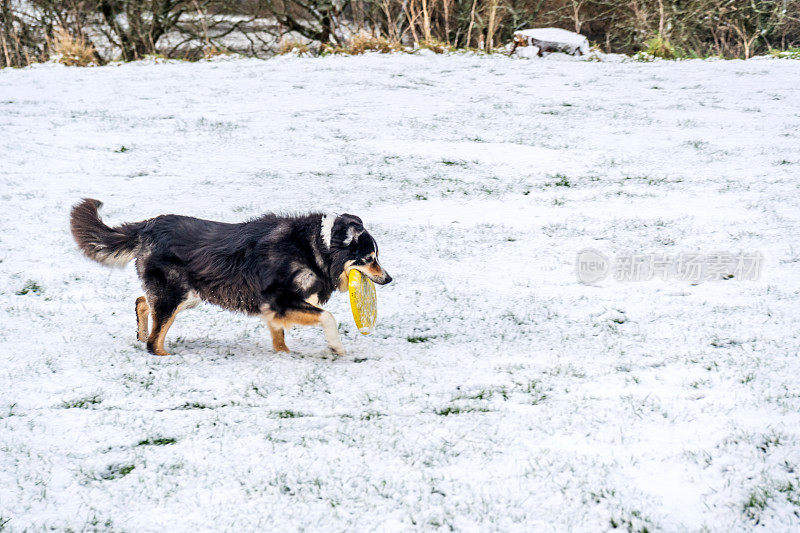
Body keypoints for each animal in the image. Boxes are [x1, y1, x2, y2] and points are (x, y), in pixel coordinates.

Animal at [72, 200, 390, 358]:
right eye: (369, 259)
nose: (389, 279)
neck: (316, 247)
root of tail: (148, 226)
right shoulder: (279, 298)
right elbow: (328, 317)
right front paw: (336, 347)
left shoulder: (272, 306)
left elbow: (279, 335)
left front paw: (284, 355)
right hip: (176, 294)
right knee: (154, 338)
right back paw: (163, 354)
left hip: (187, 295)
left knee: (141, 300)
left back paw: (141, 333)